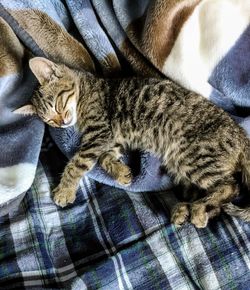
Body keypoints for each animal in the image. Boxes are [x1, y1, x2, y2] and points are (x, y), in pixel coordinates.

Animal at [15, 56, 250, 228]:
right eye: (49, 121)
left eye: (57, 105)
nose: (62, 122)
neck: (86, 91)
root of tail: (241, 135)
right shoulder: (112, 140)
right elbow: (104, 157)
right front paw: (121, 172)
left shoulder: (99, 133)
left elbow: (77, 163)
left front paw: (64, 190)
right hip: (181, 167)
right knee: (215, 199)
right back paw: (187, 210)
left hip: (192, 156)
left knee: (231, 187)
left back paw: (198, 211)